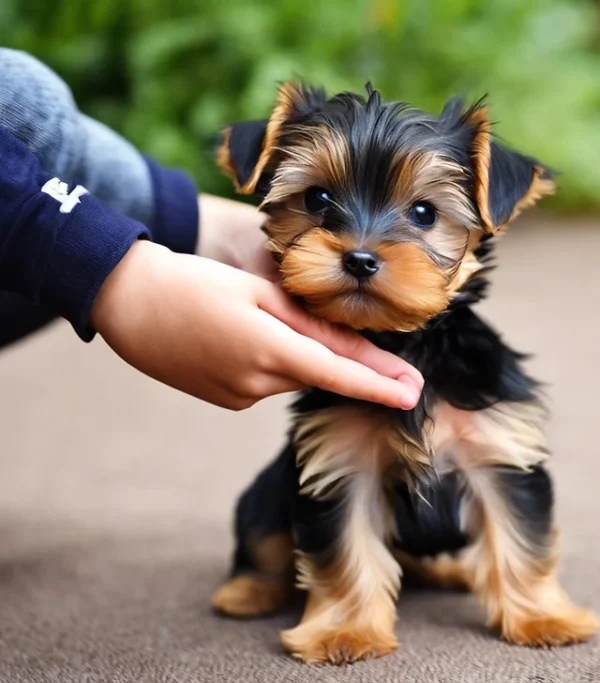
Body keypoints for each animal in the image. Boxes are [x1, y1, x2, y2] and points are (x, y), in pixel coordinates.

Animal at [210, 80, 596, 664]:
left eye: (424, 213)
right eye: (317, 199)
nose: (360, 258)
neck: (408, 341)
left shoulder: (499, 450)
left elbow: (520, 538)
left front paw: (544, 618)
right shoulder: (340, 461)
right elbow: (344, 551)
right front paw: (345, 632)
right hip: (266, 493)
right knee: (263, 536)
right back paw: (247, 592)